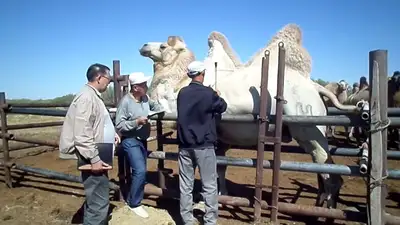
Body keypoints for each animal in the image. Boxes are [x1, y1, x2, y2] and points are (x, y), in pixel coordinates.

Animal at [138, 23, 362, 208]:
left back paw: (327, 210)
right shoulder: (222, 136)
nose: (144, 46)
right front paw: (223, 195)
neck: (180, 84)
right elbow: (220, 166)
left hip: (308, 128)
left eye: (163, 47)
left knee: (329, 171)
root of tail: (315, 86)